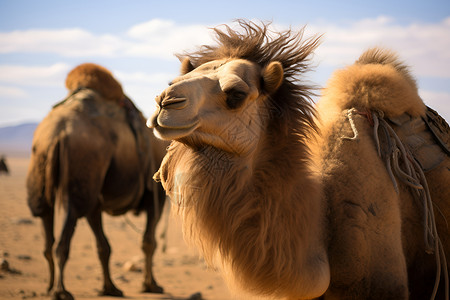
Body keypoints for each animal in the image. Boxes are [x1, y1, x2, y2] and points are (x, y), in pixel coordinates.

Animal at [27, 63, 170, 300]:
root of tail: (58, 134)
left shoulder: (96, 201)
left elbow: (104, 246)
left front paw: (110, 288)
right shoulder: (155, 197)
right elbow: (148, 242)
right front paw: (151, 286)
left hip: (42, 177)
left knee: (47, 229)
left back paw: (49, 287)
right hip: (79, 178)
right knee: (63, 239)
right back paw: (60, 291)